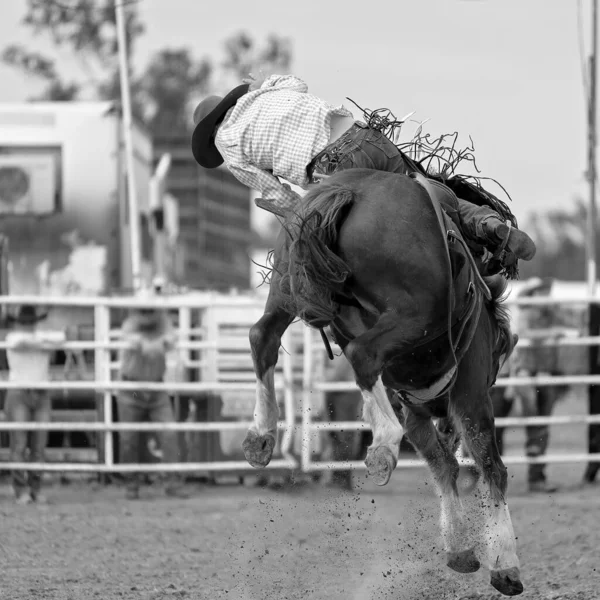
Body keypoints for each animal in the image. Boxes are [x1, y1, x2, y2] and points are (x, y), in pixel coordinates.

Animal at [244, 168, 524, 596]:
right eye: (495, 357)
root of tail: (353, 188)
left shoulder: (415, 411)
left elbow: (443, 465)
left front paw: (460, 550)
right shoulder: (471, 396)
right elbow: (491, 466)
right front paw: (505, 567)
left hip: (287, 285)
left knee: (263, 337)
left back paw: (261, 436)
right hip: (413, 313)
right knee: (362, 354)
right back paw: (382, 446)